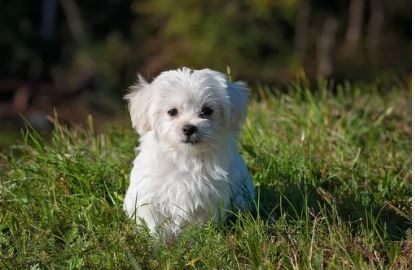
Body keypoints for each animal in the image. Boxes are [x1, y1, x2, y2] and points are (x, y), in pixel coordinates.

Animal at [122, 67, 255, 238]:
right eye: (172, 111)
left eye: (207, 111)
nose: (189, 128)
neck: (186, 157)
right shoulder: (149, 194)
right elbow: (154, 221)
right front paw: (158, 239)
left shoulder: (209, 197)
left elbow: (201, 221)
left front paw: (197, 236)